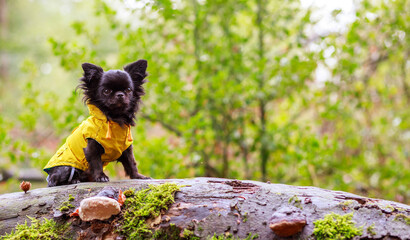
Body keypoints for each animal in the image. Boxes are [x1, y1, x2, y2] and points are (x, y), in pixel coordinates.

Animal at [42, 59, 151, 187]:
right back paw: (73, 180)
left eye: (129, 90)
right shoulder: (92, 147)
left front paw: (138, 176)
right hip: (66, 168)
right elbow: (96, 163)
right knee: (54, 182)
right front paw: (101, 177)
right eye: (106, 91)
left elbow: (131, 163)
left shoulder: (127, 149)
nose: (120, 94)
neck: (114, 119)